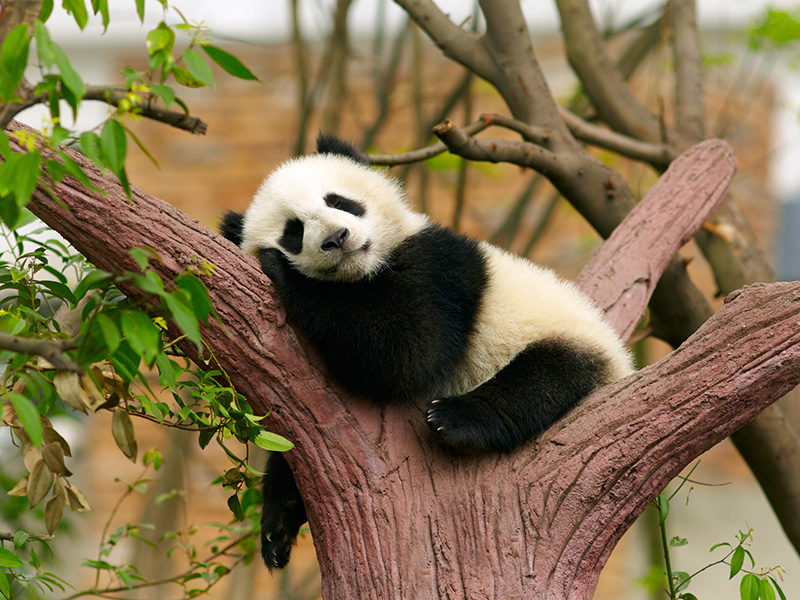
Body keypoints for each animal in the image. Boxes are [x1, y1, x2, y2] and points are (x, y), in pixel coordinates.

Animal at [220, 134, 633, 570]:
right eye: (294, 231)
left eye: (339, 201)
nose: (337, 238)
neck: (364, 272)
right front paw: (278, 522)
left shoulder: (437, 268)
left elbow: (407, 352)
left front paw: (282, 271)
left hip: (566, 337)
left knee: (543, 379)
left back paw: (456, 419)